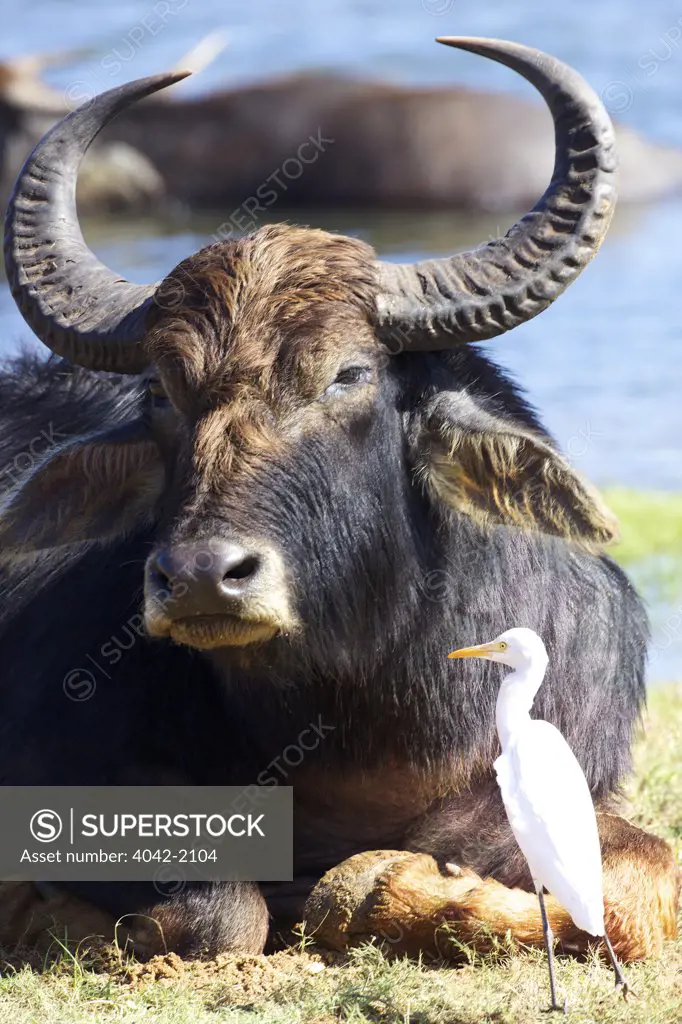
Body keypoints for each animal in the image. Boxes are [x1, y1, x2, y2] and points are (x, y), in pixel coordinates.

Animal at [0, 37, 675, 958]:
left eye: (348, 375)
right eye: (162, 394)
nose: (203, 577)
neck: (358, 725)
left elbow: (643, 885)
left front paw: (386, 884)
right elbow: (222, 909)